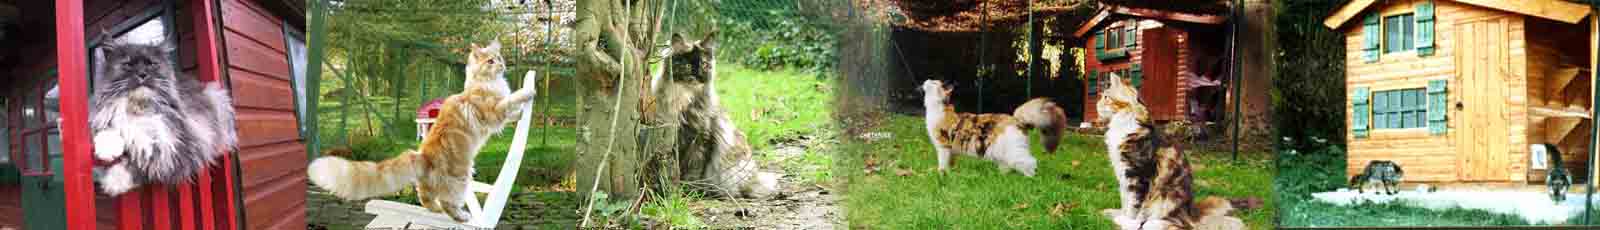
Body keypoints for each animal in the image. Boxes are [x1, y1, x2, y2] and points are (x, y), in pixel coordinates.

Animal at [91, 35, 236, 194]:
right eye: (128, 64)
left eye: (152, 64)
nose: (142, 74)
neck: (139, 107)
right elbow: (110, 131)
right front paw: (106, 150)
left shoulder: (175, 151)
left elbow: (141, 163)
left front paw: (115, 181)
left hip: (218, 96)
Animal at [305, 40, 537, 222]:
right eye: (490, 61)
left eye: (498, 57)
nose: (501, 64)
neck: (484, 82)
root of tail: (423, 156)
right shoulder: (493, 112)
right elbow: (511, 99)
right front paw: (527, 92)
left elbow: (511, 111)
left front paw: (520, 112)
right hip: (461, 177)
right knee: (447, 201)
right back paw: (460, 216)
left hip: (438, 183)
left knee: (424, 196)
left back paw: (435, 210)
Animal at [646, 32, 777, 199]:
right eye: (687, 66)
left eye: (704, 64)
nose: (698, 75)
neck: (684, 99)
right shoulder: (673, 138)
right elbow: (677, 168)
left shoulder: (701, 139)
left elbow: (693, 170)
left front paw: (690, 191)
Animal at [1094, 73, 1241, 230]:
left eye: (1106, 97)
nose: (1096, 105)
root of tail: (1192, 213)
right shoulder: (1123, 175)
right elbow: (1125, 202)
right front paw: (1120, 215)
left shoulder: (1138, 176)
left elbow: (1134, 207)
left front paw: (1128, 222)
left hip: (1168, 197)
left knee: (1176, 224)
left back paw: (1148, 223)